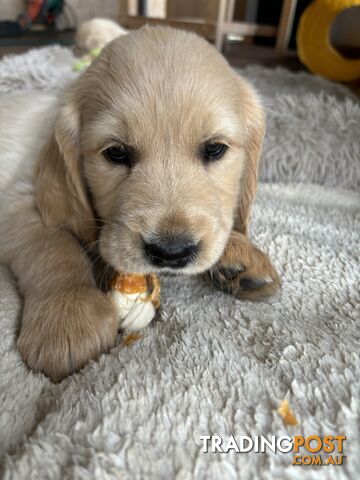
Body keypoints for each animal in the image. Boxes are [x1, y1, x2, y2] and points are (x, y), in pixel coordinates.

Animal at [0, 26, 280, 380]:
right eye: (117, 152)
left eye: (215, 148)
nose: (171, 253)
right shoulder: (17, 199)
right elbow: (54, 244)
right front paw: (67, 315)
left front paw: (240, 253)